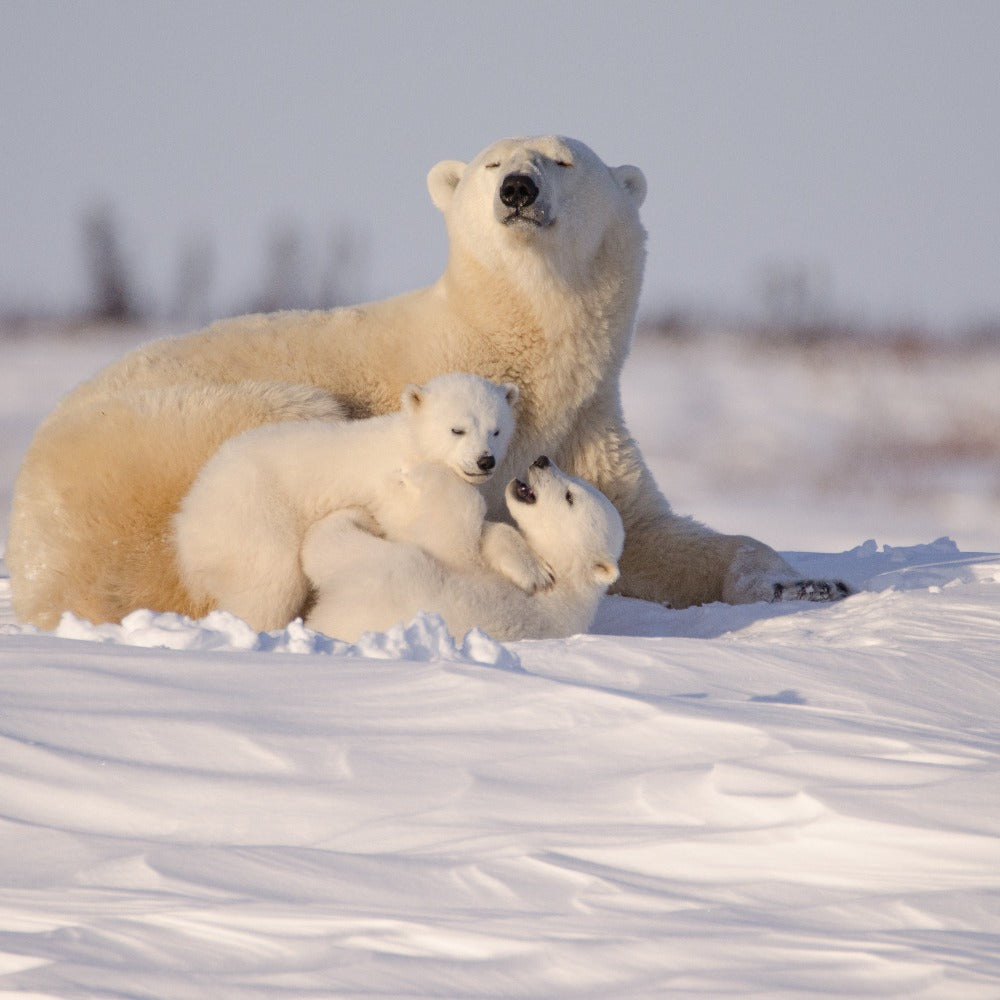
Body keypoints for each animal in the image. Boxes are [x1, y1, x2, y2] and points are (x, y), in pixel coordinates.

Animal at [172, 372, 542, 632]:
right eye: (457, 429)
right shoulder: (395, 488)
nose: (485, 461)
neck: (410, 446)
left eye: (496, 430)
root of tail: (187, 517)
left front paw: (532, 570)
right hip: (252, 514)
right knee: (269, 581)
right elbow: (423, 533)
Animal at [302, 456, 625, 642]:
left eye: (570, 497)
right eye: (575, 478)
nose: (542, 460)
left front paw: (421, 471)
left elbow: (452, 524)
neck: (567, 580)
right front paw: (528, 565)